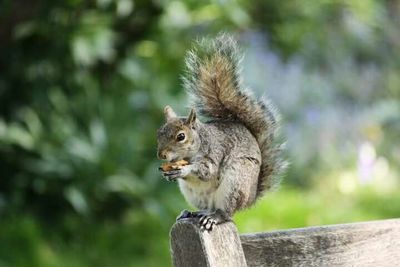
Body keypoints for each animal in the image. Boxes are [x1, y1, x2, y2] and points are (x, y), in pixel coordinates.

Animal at [156, 33, 284, 231]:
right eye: (159, 133)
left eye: (181, 136)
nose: (161, 155)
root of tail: (250, 198)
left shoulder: (214, 152)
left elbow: (207, 169)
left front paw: (185, 170)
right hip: (196, 195)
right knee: (206, 208)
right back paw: (192, 213)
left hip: (235, 184)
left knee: (226, 213)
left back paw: (214, 217)